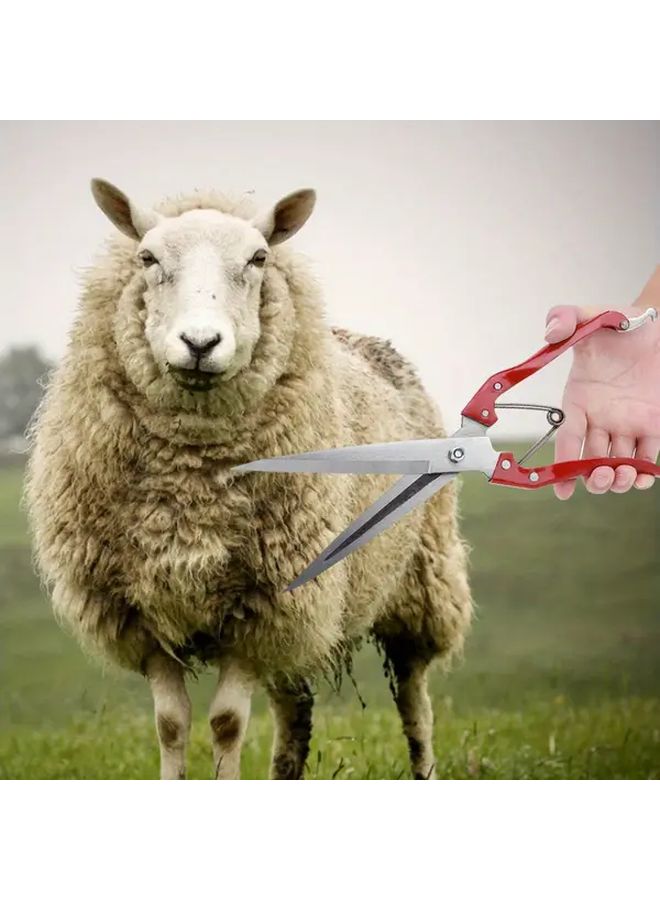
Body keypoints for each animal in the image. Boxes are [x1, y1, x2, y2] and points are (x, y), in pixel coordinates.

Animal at [25, 179, 472, 780]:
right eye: (147, 258)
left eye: (258, 258)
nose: (200, 343)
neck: (191, 478)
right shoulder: (142, 609)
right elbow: (170, 724)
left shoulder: (260, 605)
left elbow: (226, 723)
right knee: (294, 707)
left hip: (418, 582)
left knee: (413, 697)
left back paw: (424, 766)